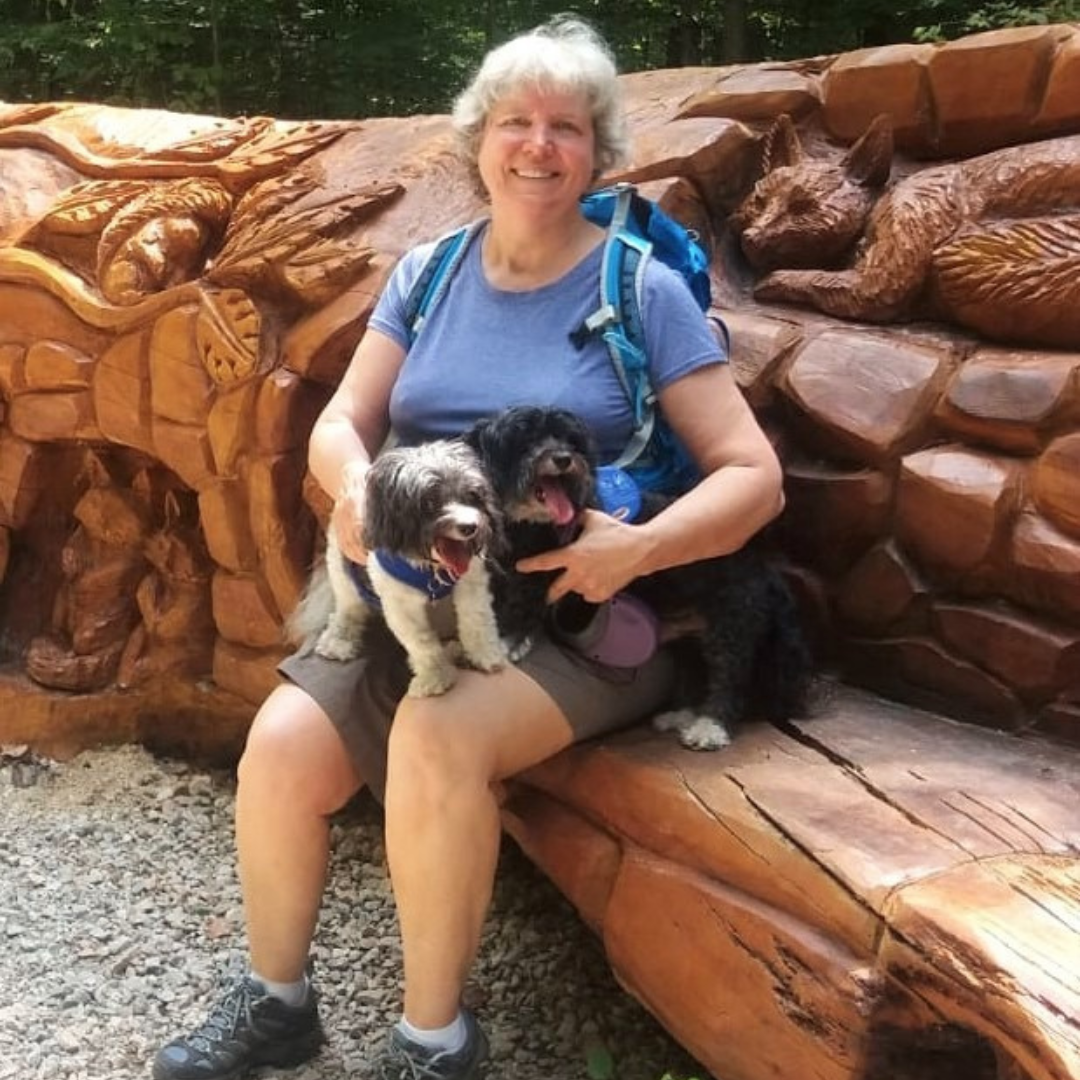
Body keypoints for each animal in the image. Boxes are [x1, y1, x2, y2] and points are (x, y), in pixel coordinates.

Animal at [285, 438, 507, 699]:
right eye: (429, 501)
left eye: (472, 495)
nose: (470, 526)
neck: (431, 570)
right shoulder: (401, 606)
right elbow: (422, 644)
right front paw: (435, 677)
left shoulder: (471, 585)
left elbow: (477, 622)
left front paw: (487, 654)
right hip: (343, 575)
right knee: (347, 609)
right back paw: (338, 640)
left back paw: (455, 649)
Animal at [464, 406, 812, 751]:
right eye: (525, 438)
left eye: (570, 440)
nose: (563, 458)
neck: (527, 524)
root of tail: (761, 561)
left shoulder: (538, 576)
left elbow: (519, 610)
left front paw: (503, 643)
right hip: (690, 633)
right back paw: (683, 715)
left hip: (731, 623)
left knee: (730, 676)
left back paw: (712, 726)